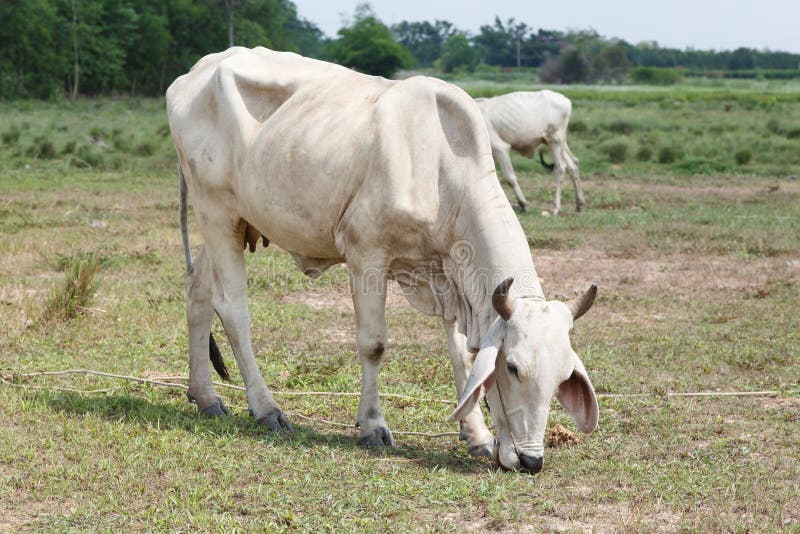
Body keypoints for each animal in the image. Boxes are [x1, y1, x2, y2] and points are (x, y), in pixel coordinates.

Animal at [166, 47, 599, 474]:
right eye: (512, 368)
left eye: (562, 378)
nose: (531, 460)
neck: (441, 169)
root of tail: (197, 70)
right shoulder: (366, 253)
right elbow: (373, 344)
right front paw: (373, 426)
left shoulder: (446, 274)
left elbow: (461, 353)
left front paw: (476, 435)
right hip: (216, 211)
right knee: (233, 310)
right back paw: (266, 408)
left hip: (232, 222)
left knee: (198, 293)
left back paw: (206, 397)